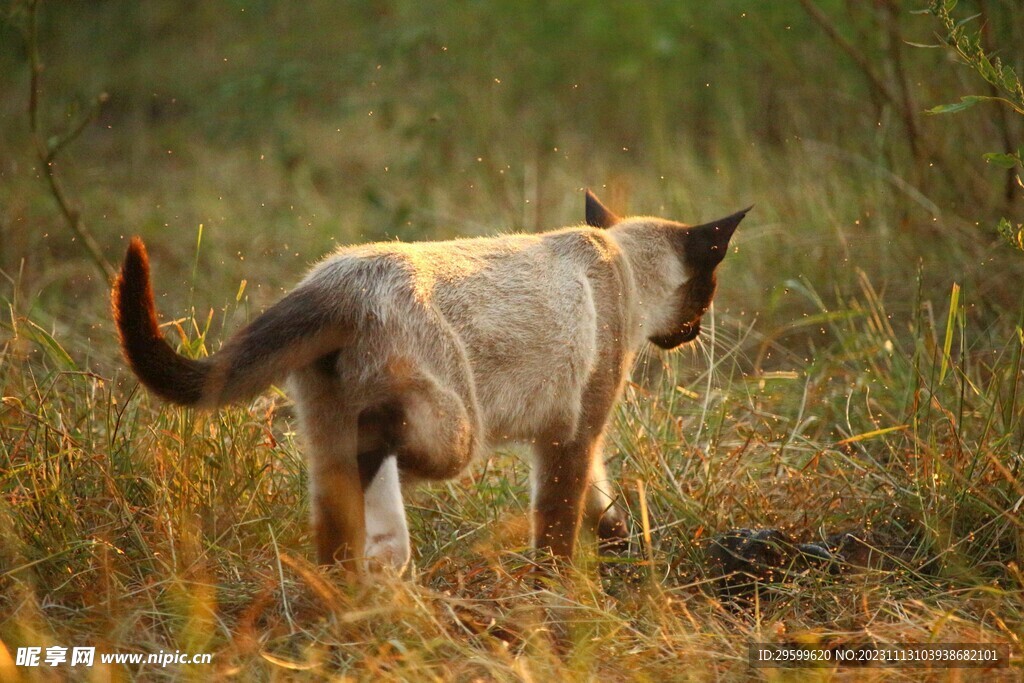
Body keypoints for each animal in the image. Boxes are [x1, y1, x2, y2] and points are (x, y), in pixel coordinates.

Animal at [112, 191, 749, 573]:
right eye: (708, 291)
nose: (692, 333)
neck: (622, 265)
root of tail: (331, 282)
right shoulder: (574, 432)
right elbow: (560, 528)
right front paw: (559, 595)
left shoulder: (567, 438)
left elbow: (600, 500)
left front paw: (625, 549)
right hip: (457, 435)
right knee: (376, 454)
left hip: (334, 421)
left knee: (333, 501)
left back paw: (342, 599)